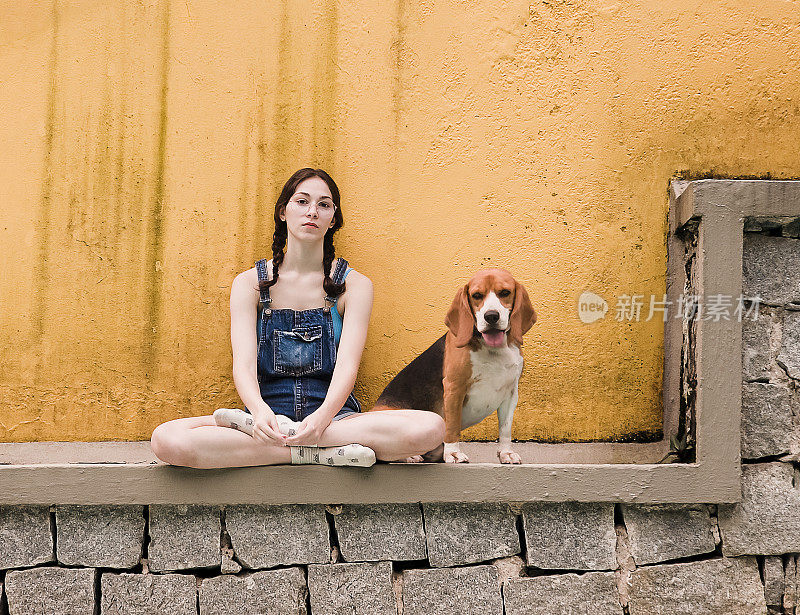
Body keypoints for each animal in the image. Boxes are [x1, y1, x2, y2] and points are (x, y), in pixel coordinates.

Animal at [374, 268, 536, 464]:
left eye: (505, 293)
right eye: (476, 295)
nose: (491, 316)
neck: (493, 349)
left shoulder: (511, 392)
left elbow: (505, 428)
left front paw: (506, 453)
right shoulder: (454, 387)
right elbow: (452, 426)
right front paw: (453, 453)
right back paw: (410, 456)